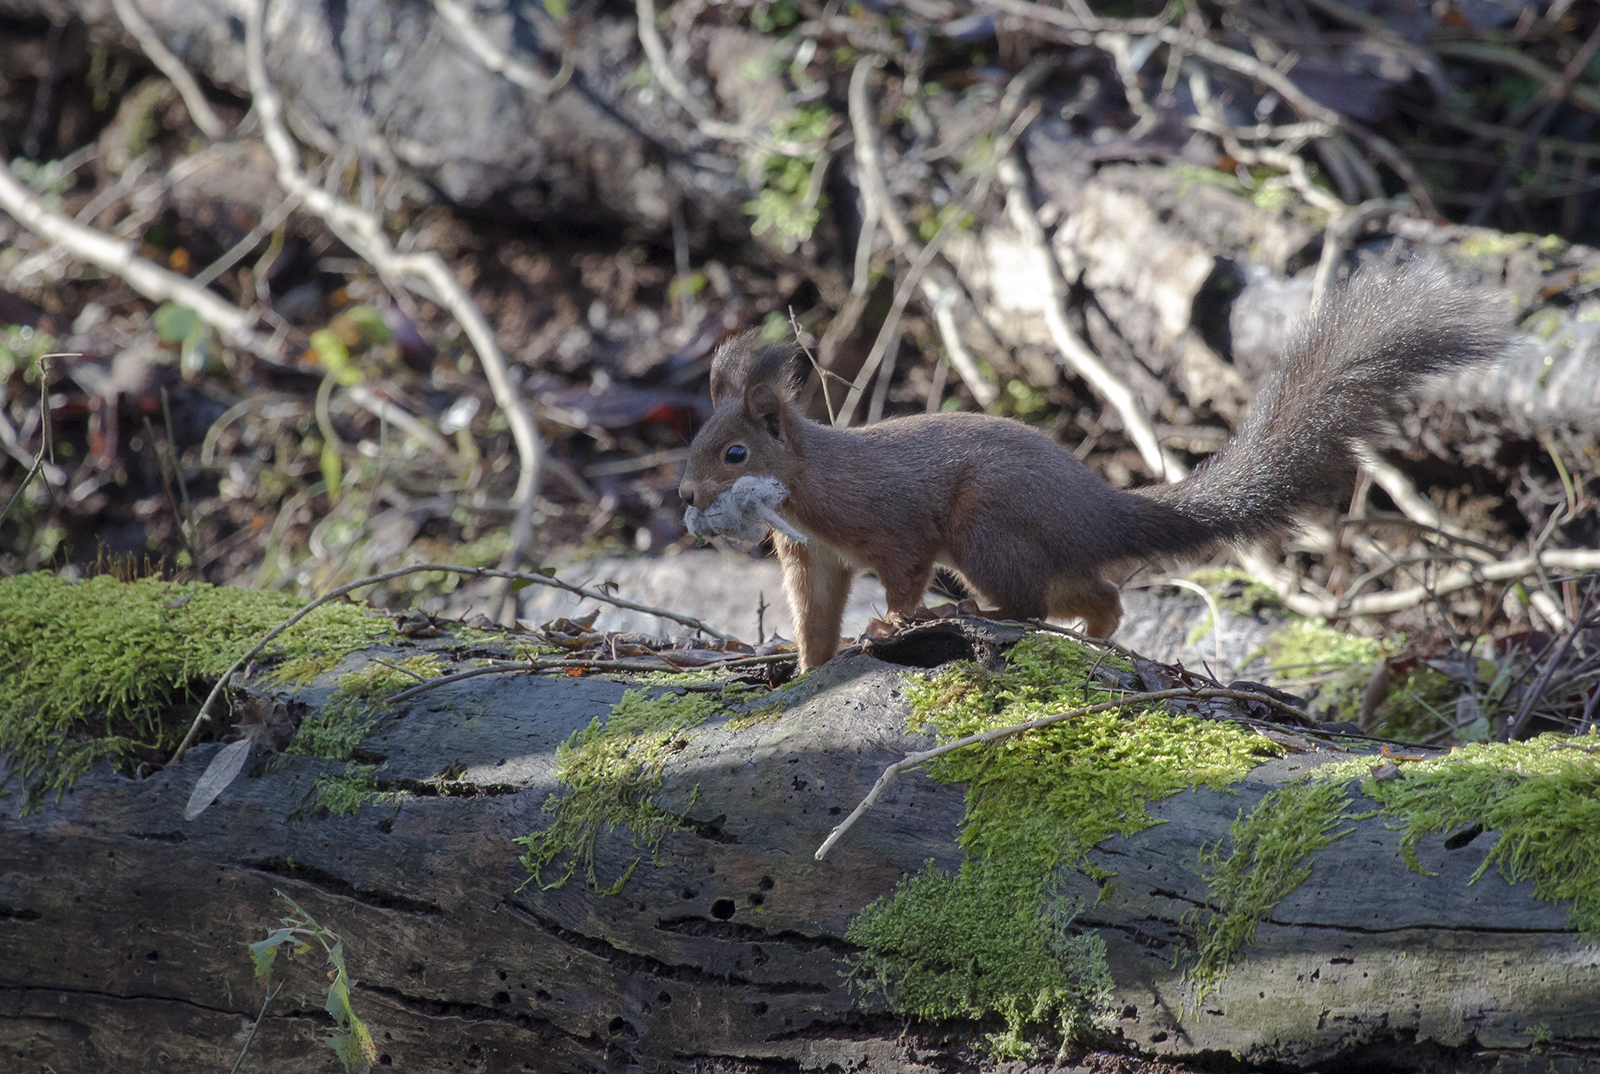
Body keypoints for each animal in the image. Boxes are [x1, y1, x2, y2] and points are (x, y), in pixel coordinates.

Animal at [679, 261, 1509, 670]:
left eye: (735, 452)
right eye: (695, 442)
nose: (685, 495)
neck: (809, 484)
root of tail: (1097, 507)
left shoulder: (891, 522)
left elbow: (905, 572)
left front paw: (889, 622)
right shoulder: (812, 558)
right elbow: (814, 617)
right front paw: (803, 669)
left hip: (986, 531)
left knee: (1027, 606)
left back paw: (978, 617)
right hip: (1038, 554)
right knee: (1097, 594)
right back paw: (1098, 635)